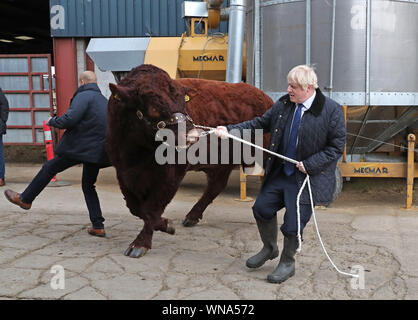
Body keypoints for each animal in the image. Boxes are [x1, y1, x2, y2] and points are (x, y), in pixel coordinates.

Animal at [106, 65, 272, 258]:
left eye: (183, 102)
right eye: (153, 107)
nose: (193, 136)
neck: (136, 153)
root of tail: (263, 97)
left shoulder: (171, 175)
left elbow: (151, 208)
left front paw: (141, 243)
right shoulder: (123, 172)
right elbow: (136, 208)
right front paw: (165, 224)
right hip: (221, 163)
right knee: (216, 186)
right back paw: (192, 216)